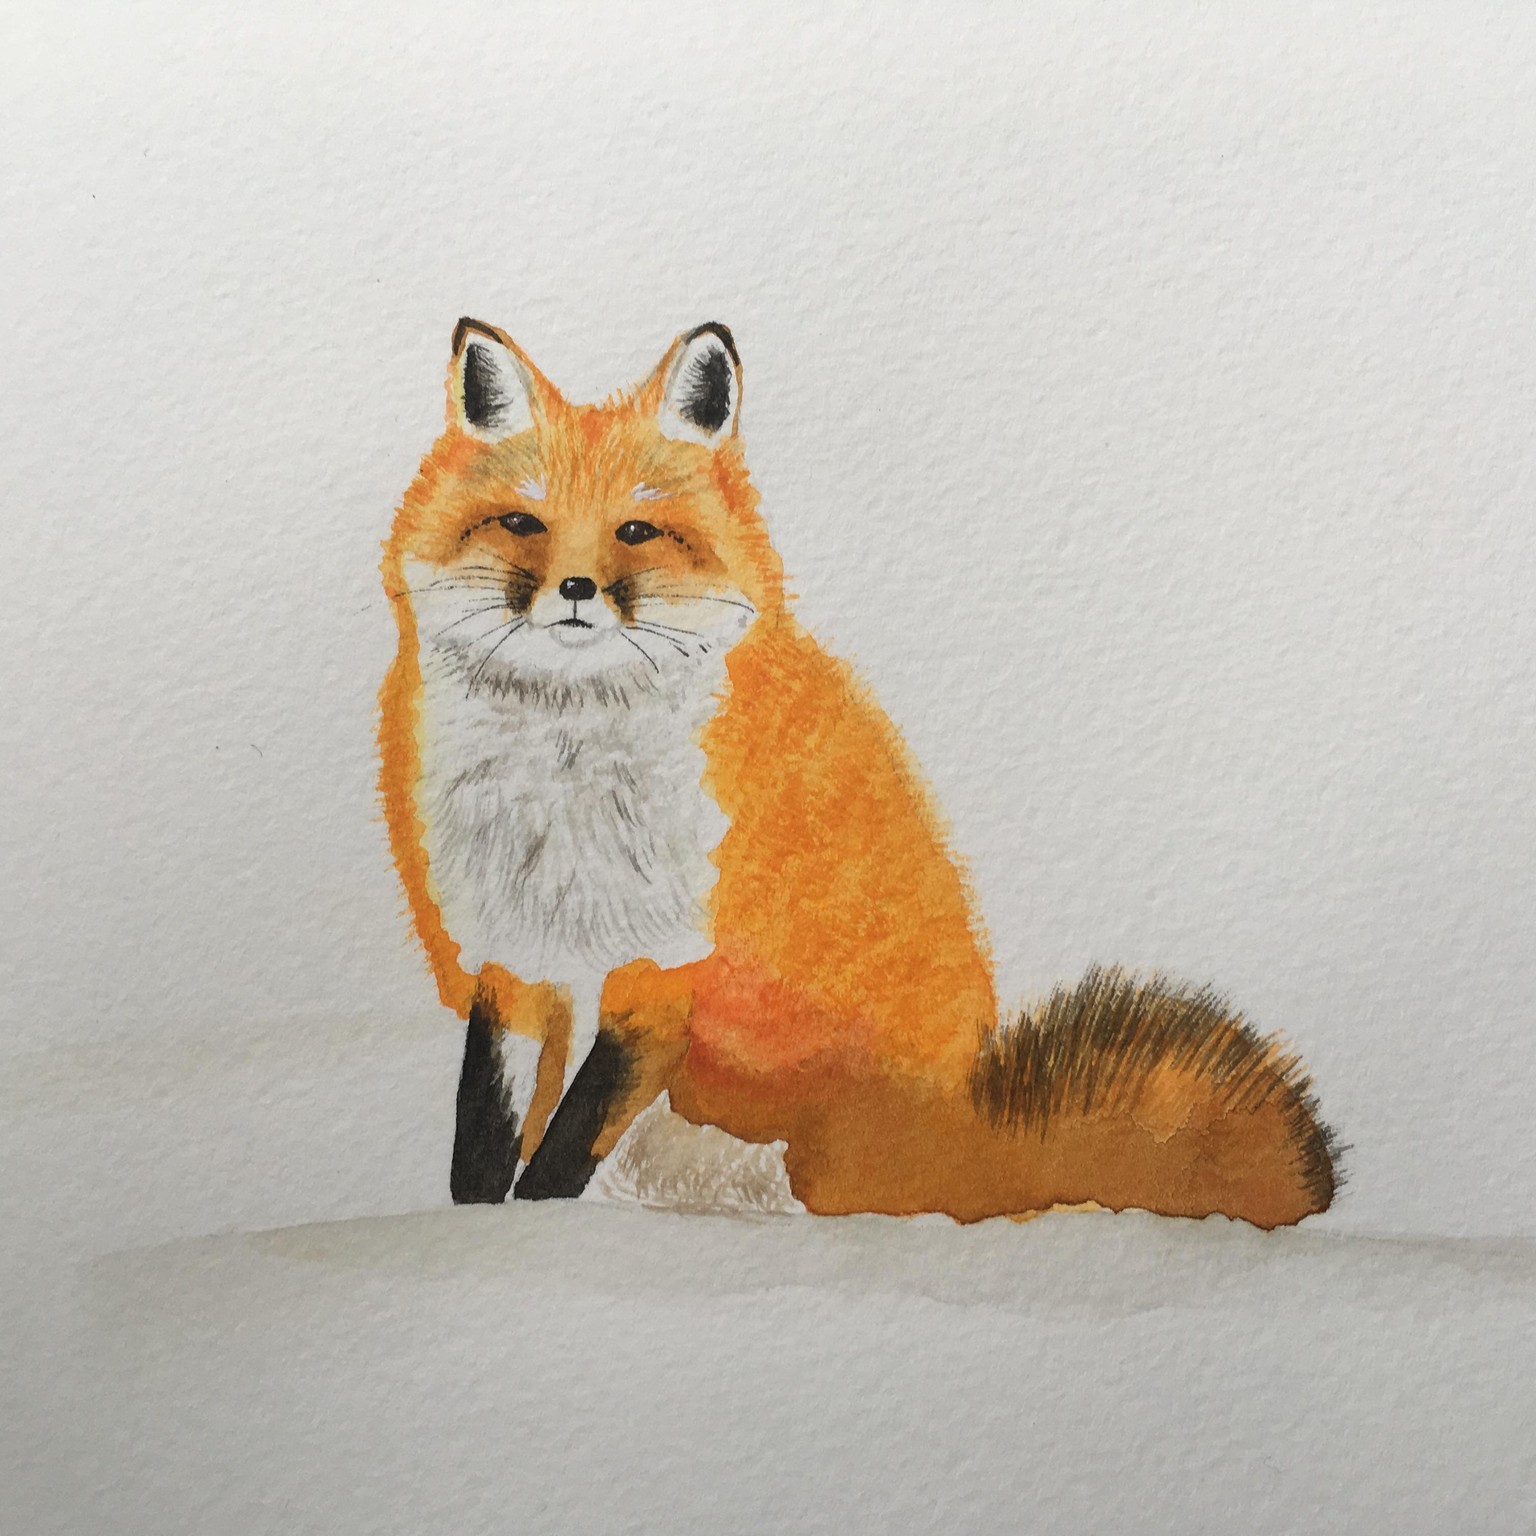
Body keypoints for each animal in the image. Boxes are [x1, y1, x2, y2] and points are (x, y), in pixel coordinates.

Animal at [379, 318, 1339, 1228]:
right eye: (522, 523)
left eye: (637, 531)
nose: (575, 589)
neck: (564, 771)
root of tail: (976, 1140)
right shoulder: (510, 954)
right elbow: (483, 1132)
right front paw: (477, 1225)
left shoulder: (665, 973)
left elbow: (566, 1145)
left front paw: (536, 1221)